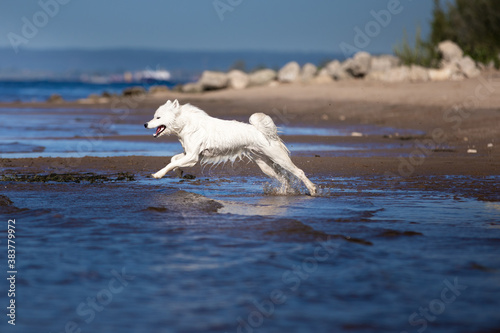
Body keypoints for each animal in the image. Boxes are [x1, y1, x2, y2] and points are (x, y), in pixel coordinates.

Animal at [144, 100, 316, 196]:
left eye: (158, 117)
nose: (145, 124)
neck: (186, 124)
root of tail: (264, 132)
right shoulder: (192, 154)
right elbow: (173, 159)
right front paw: (178, 171)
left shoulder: (192, 157)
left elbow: (171, 163)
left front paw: (158, 174)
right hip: (265, 165)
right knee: (284, 178)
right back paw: (285, 193)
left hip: (279, 158)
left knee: (299, 172)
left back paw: (312, 189)